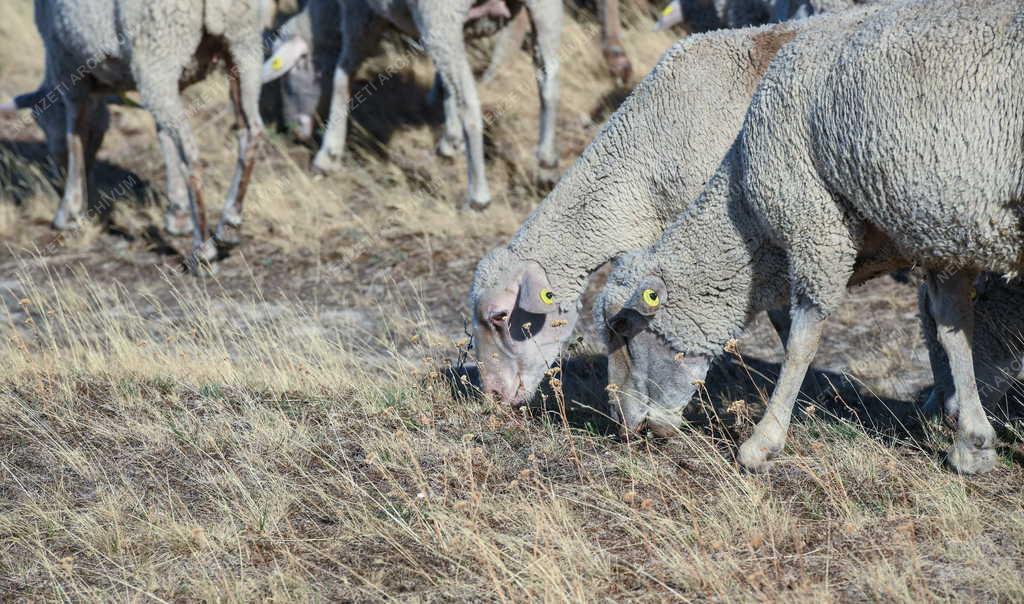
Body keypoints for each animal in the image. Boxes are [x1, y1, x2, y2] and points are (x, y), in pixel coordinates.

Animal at [1, 0, 264, 268]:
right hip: (243, 44)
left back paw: (202, 250)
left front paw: (70, 210)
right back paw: (228, 226)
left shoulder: (67, 65)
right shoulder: (176, 83)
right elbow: (164, 137)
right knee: (251, 132)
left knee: (191, 154)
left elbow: (74, 132)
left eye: (42, 123)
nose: (58, 175)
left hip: (159, 53)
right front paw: (178, 215)